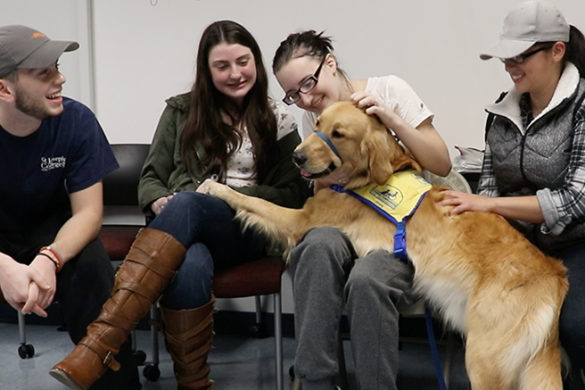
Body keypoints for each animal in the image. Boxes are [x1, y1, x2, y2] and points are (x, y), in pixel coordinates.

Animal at [200, 101, 564, 390]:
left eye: (339, 134)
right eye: (318, 125)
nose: (296, 156)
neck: (362, 178)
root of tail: (555, 276)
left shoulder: (300, 221)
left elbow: (252, 200)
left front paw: (212, 188)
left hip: (483, 359)